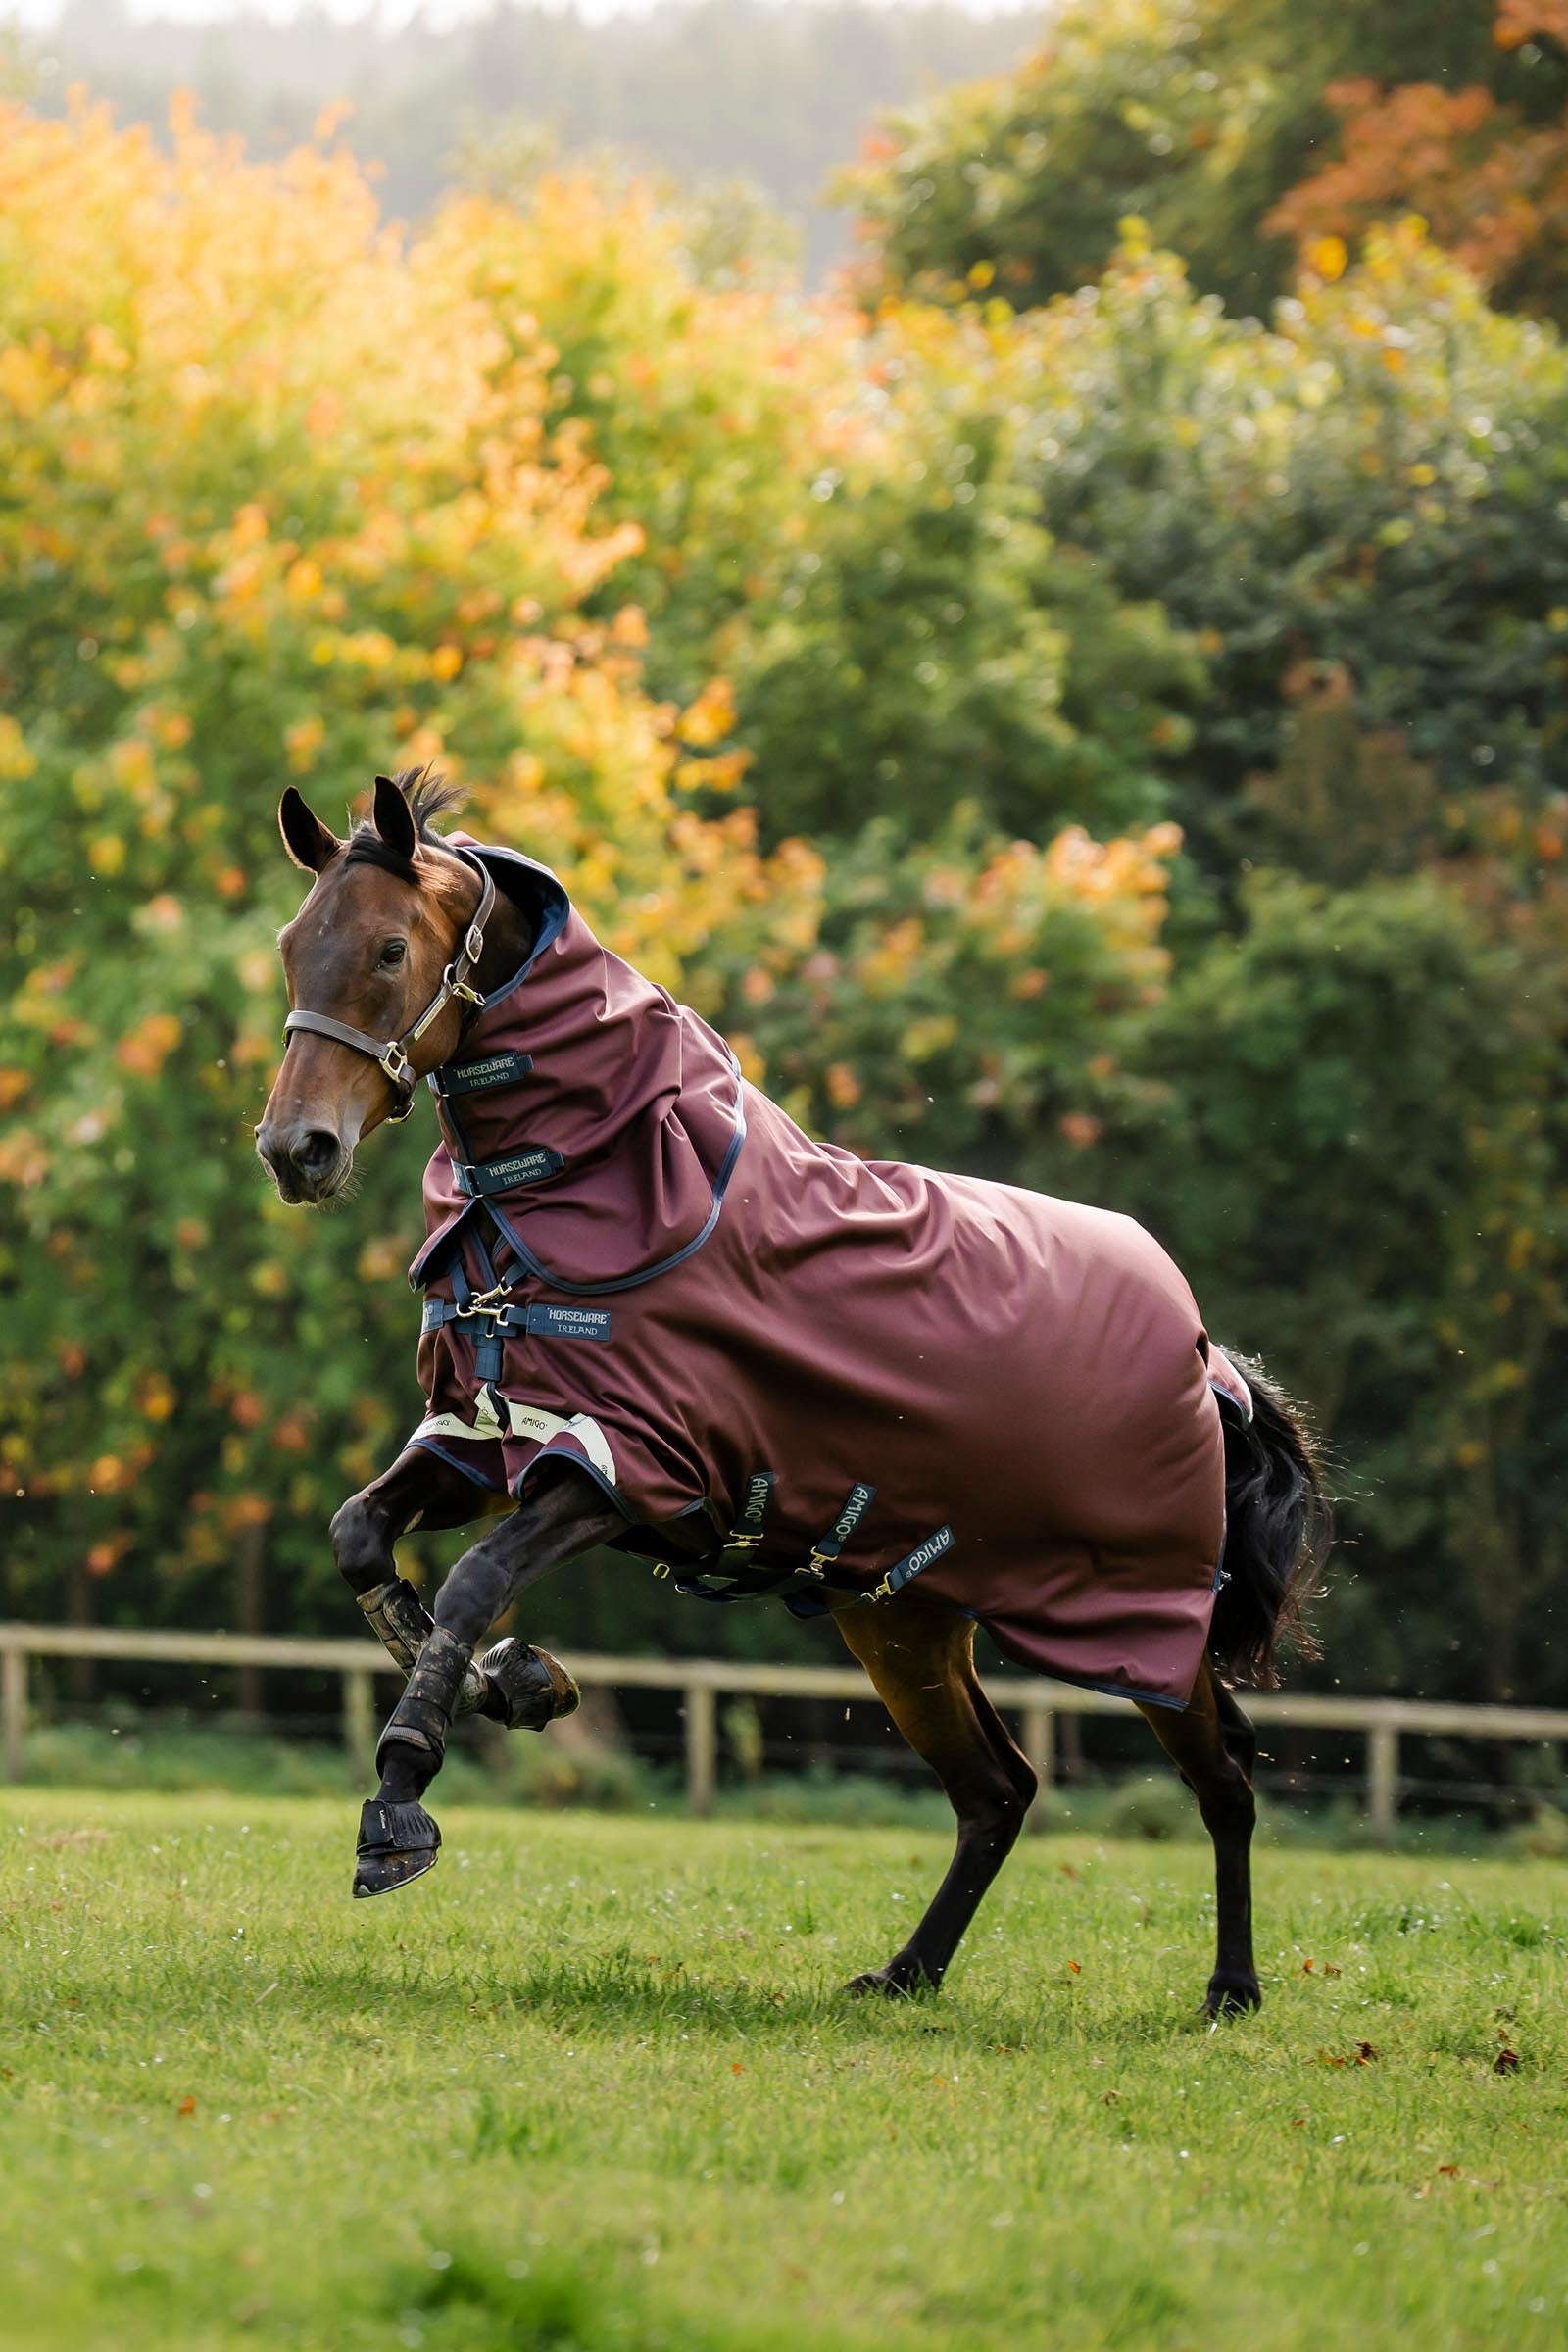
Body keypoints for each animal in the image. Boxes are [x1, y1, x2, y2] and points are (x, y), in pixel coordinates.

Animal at [256, 769, 1327, 2015]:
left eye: (388, 949)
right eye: (293, 945)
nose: (296, 1148)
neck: (600, 1182)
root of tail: (1208, 1363)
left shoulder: (627, 1472)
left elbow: (473, 1582)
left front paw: (401, 1797)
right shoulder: (491, 1441)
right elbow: (360, 1539)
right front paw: (523, 1684)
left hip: (1144, 1630)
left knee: (1225, 1776)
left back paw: (1231, 1990)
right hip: (902, 1618)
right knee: (997, 1789)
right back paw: (908, 1973)